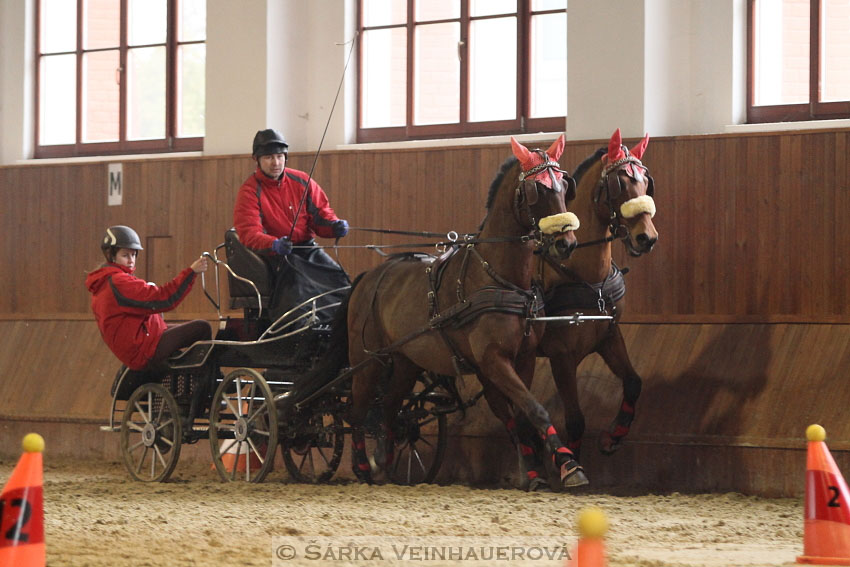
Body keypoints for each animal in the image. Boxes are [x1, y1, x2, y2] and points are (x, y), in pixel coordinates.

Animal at [338, 136, 588, 488]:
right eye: (537, 189)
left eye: (564, 186)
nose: (566, 243)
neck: (500, 277)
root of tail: (370, 276)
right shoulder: (493, 360)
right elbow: (534, 408)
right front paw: (569, 464)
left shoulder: (522, 358)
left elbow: (523, 412)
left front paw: (538, 472)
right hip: (367, 359)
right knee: (358, 409)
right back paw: (362, 466)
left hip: (405, 361)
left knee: (389, 405)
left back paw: (383, 462)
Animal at [516, 130, 656, 488]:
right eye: (620, 183)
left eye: (645, 180)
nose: (646, 238)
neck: (583, 276)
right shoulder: (562, 356)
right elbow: (576, 418)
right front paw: (570, 463)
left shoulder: (609, 337)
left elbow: (634, 382)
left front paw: (612, 437)